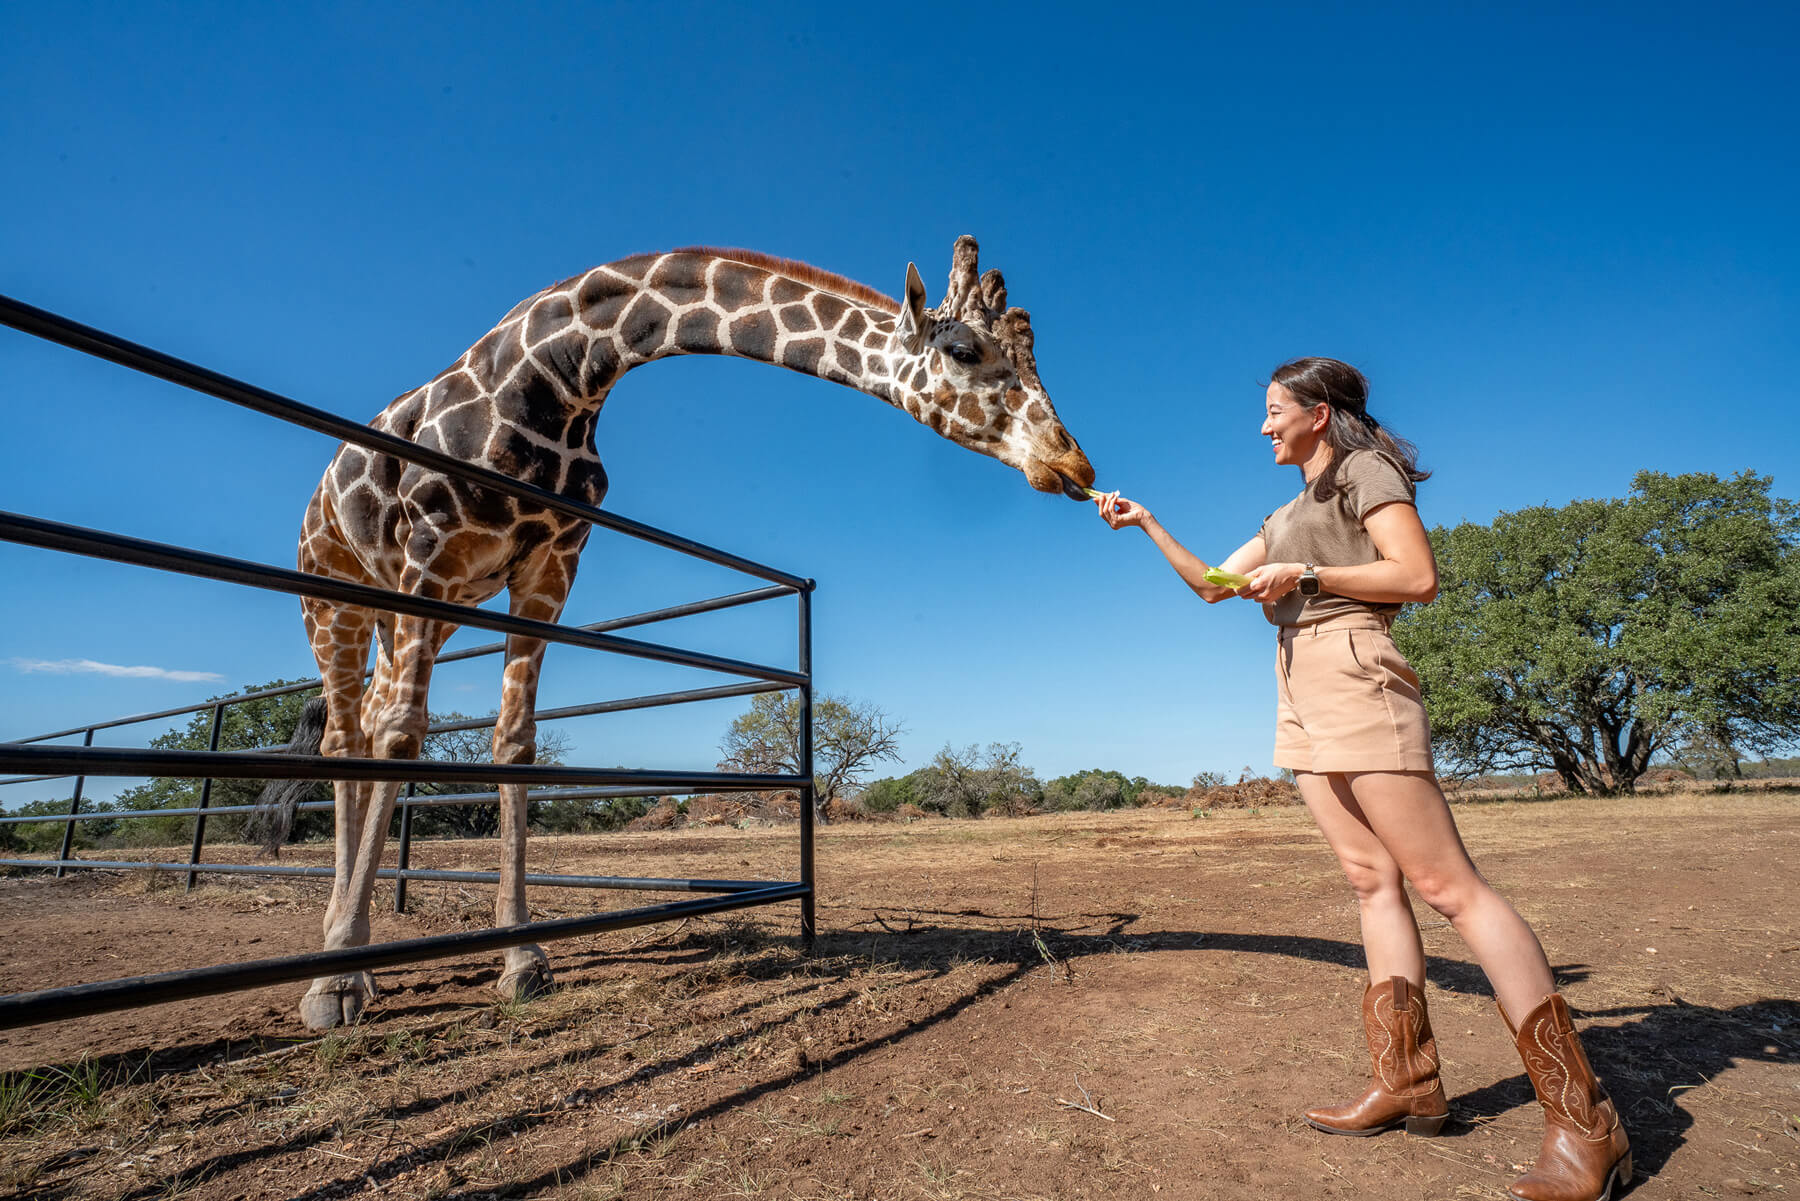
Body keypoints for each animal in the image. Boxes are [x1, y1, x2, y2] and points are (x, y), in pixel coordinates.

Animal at [276, 236, 1095, 1030]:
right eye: (963, 351)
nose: (1073, 462)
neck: (563, 374)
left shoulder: (548, 566)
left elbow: (513, 744)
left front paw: (523, 958)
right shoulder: (436, 547)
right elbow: (405, 735)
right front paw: (336, 979)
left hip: (411, 608)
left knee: (368, 719)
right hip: (338, 595)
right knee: (350, 735)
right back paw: (343, 959)